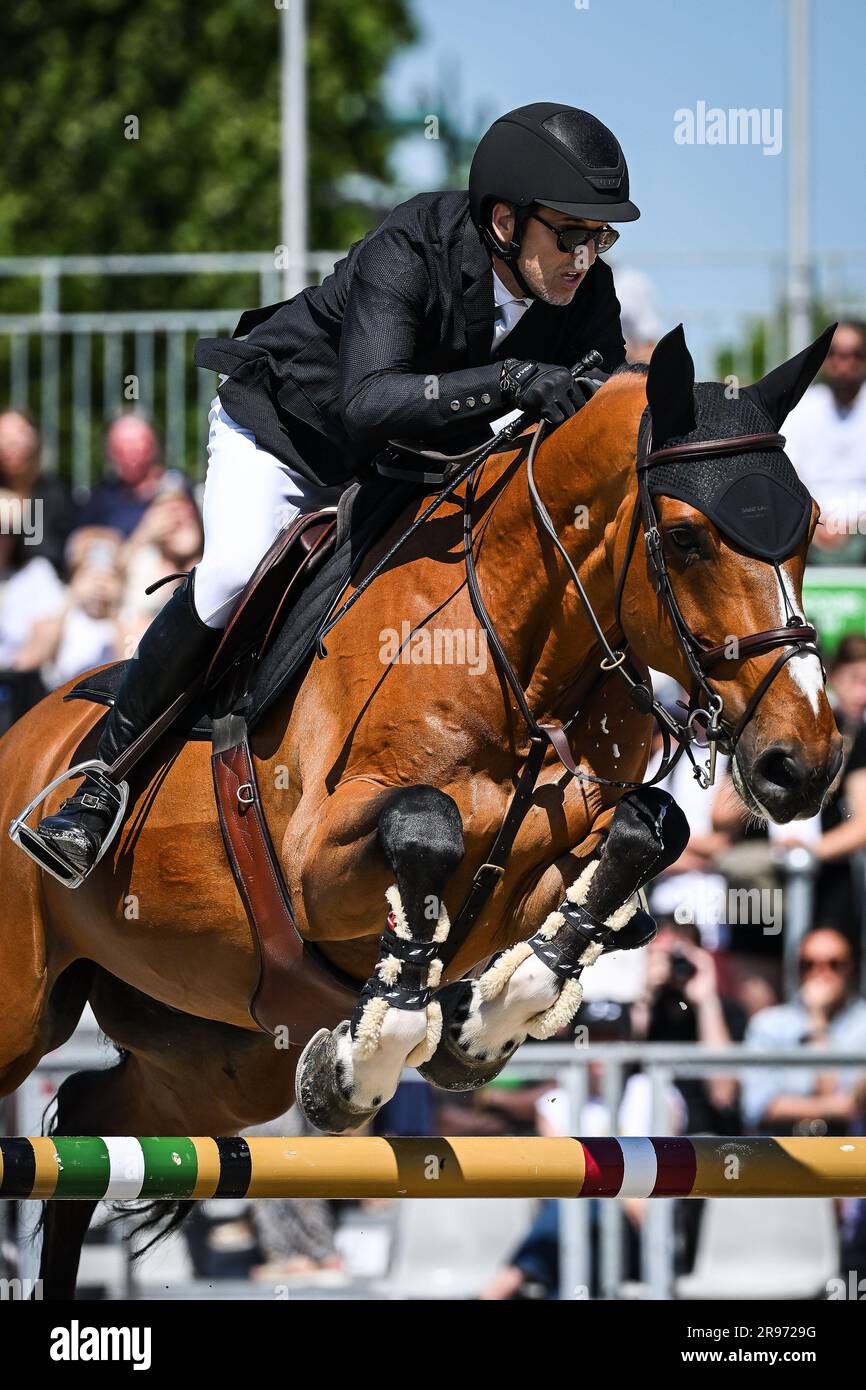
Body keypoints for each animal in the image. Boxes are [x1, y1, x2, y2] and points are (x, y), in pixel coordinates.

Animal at [0, 322, 839, 1289]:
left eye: (812, 526)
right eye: (689, 538)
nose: (805, 762)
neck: (519, 649)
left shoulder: (553, 849)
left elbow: (645, 830)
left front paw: (494, 1014)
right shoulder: (315, 868)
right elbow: (426, 827)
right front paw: (368, 1060)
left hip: (216, 1054)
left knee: (89, 1119)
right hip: (29, 1008)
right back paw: (76, 821)